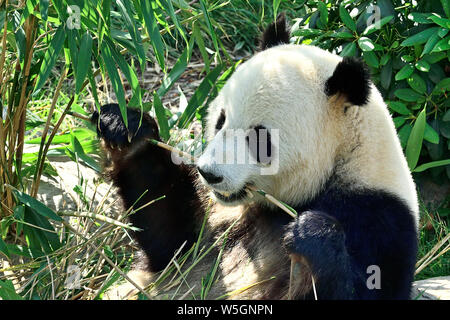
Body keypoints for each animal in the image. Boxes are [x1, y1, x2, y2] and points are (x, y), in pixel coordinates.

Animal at [93, 15, 420, 300]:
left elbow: (369, 286)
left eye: (259, 139)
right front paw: (127, 128)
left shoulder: (380, 220)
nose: (209, 173)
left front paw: (311, 235)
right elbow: (171, 242)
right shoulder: (216, 218)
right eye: (220, 121)